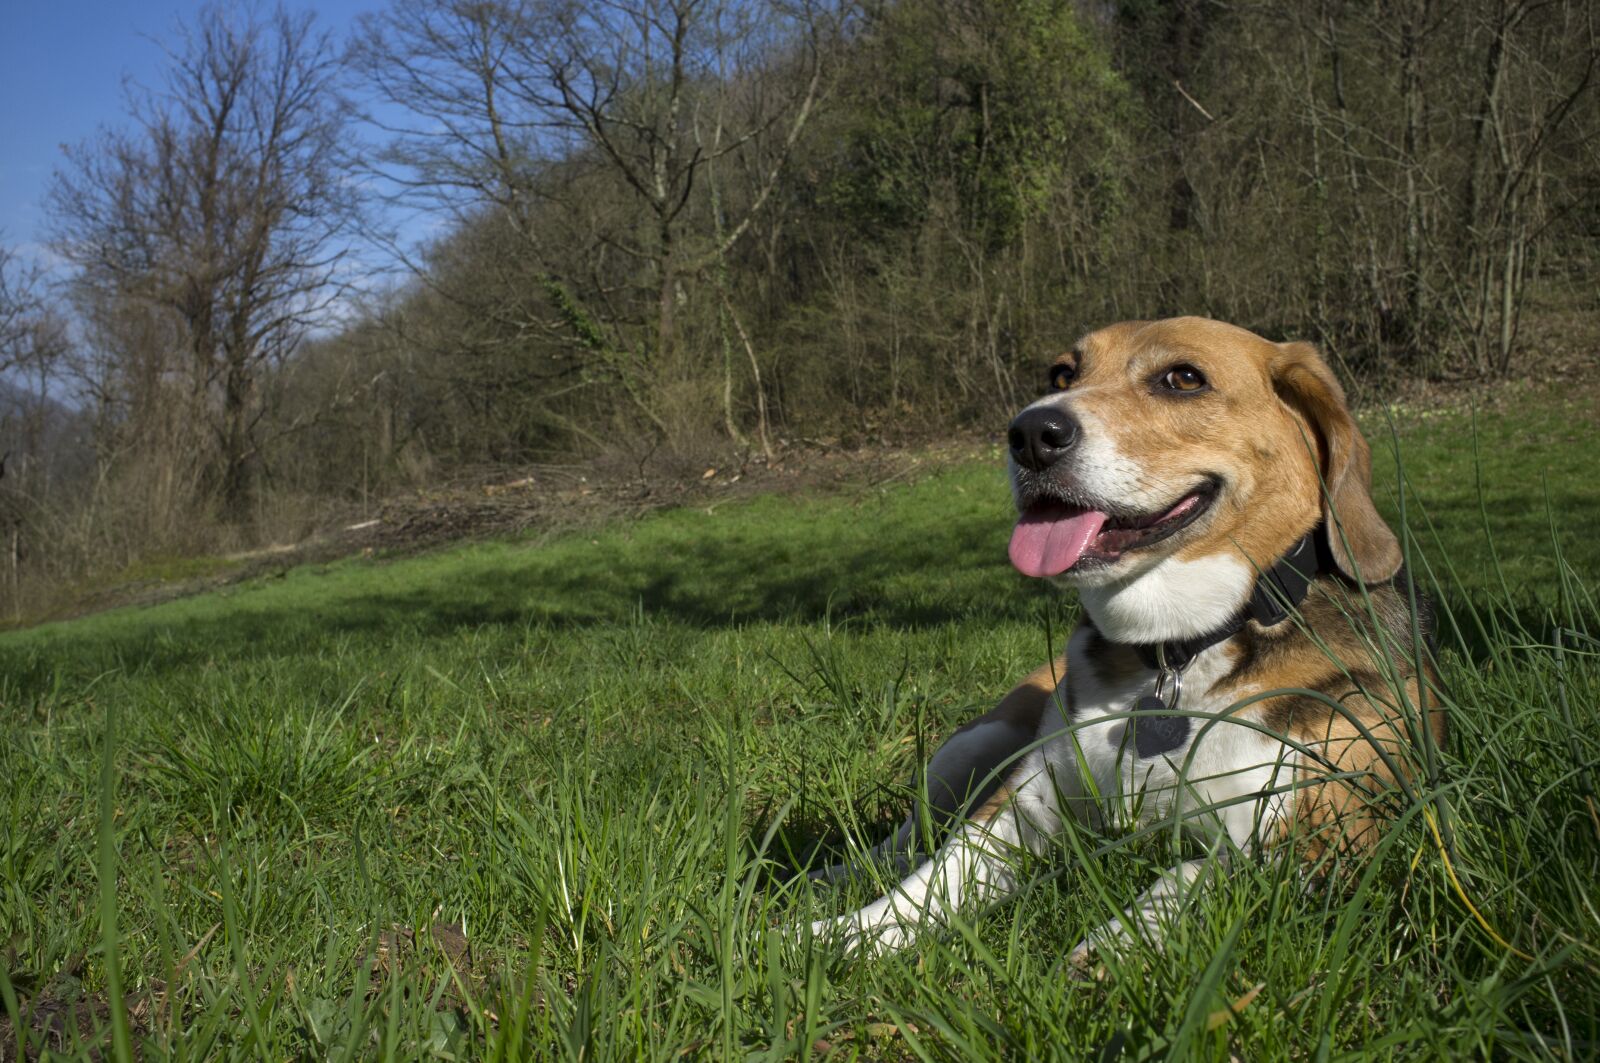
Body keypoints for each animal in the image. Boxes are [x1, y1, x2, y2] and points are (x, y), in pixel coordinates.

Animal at [806, 315, 1446, 960]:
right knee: (910, 838)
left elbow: (1186, 878)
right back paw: (834, 876)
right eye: (1061, 375)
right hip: (972, 743)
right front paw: (830, 938)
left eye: (1183, 378)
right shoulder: (1022, 807)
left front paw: (1112, 949)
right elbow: (931, 880)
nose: (1031, 432)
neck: (1178, 653)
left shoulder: (1308, 843)